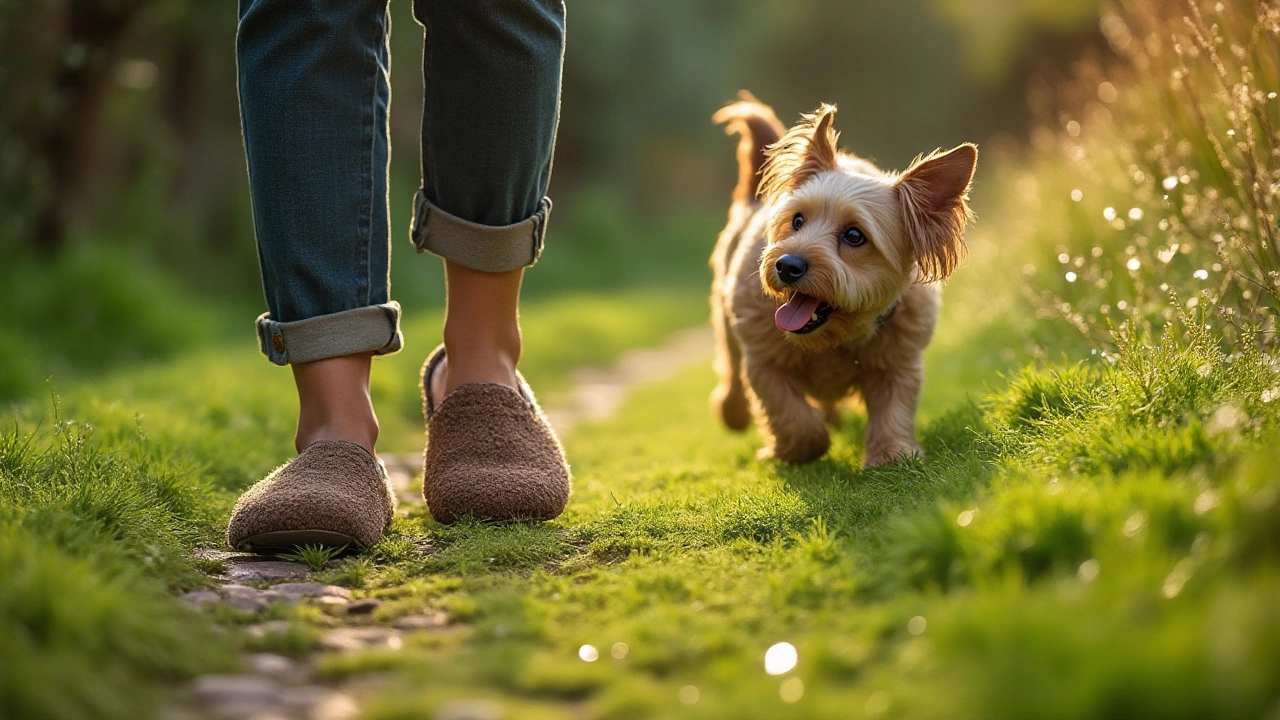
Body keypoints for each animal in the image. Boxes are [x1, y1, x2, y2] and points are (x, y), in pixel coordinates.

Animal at [711, 92, 977, 466]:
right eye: (797, 221)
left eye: (854, 236)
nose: (786, 265)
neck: (833, 339)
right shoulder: (764, 361)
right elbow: (792, 415)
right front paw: (793, 449)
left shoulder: (900, 362)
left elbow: (894, 407)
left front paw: (891, 452)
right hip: (727, 319)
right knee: (732, 367)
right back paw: (733, 411)